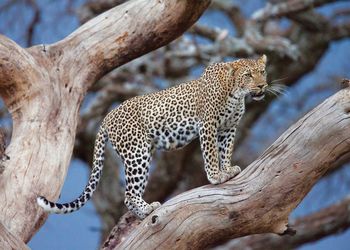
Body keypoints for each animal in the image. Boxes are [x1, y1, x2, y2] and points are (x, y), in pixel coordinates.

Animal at [37, 54, 268, 219]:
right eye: (248, 75)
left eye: (263, 72)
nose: (262, 85)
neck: (236, 94)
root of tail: (107, 116)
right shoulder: (208, 126)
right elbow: (211, 153)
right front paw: (216, 176)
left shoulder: (229, 128)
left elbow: (225, 150)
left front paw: (228, 169)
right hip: (136, 153)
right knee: (129, 194)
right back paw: (147, 210)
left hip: (143, 153)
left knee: (130, 195)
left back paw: (144, 212)